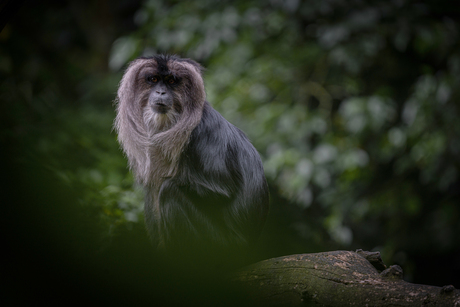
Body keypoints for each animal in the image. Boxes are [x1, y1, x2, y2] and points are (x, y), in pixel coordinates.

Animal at [114, 55, 270, 270]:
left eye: (171, 81)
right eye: (153, 79)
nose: (161, 92)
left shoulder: (202, 134)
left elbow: (222, 192)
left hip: (221, 247)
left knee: (168, 191)